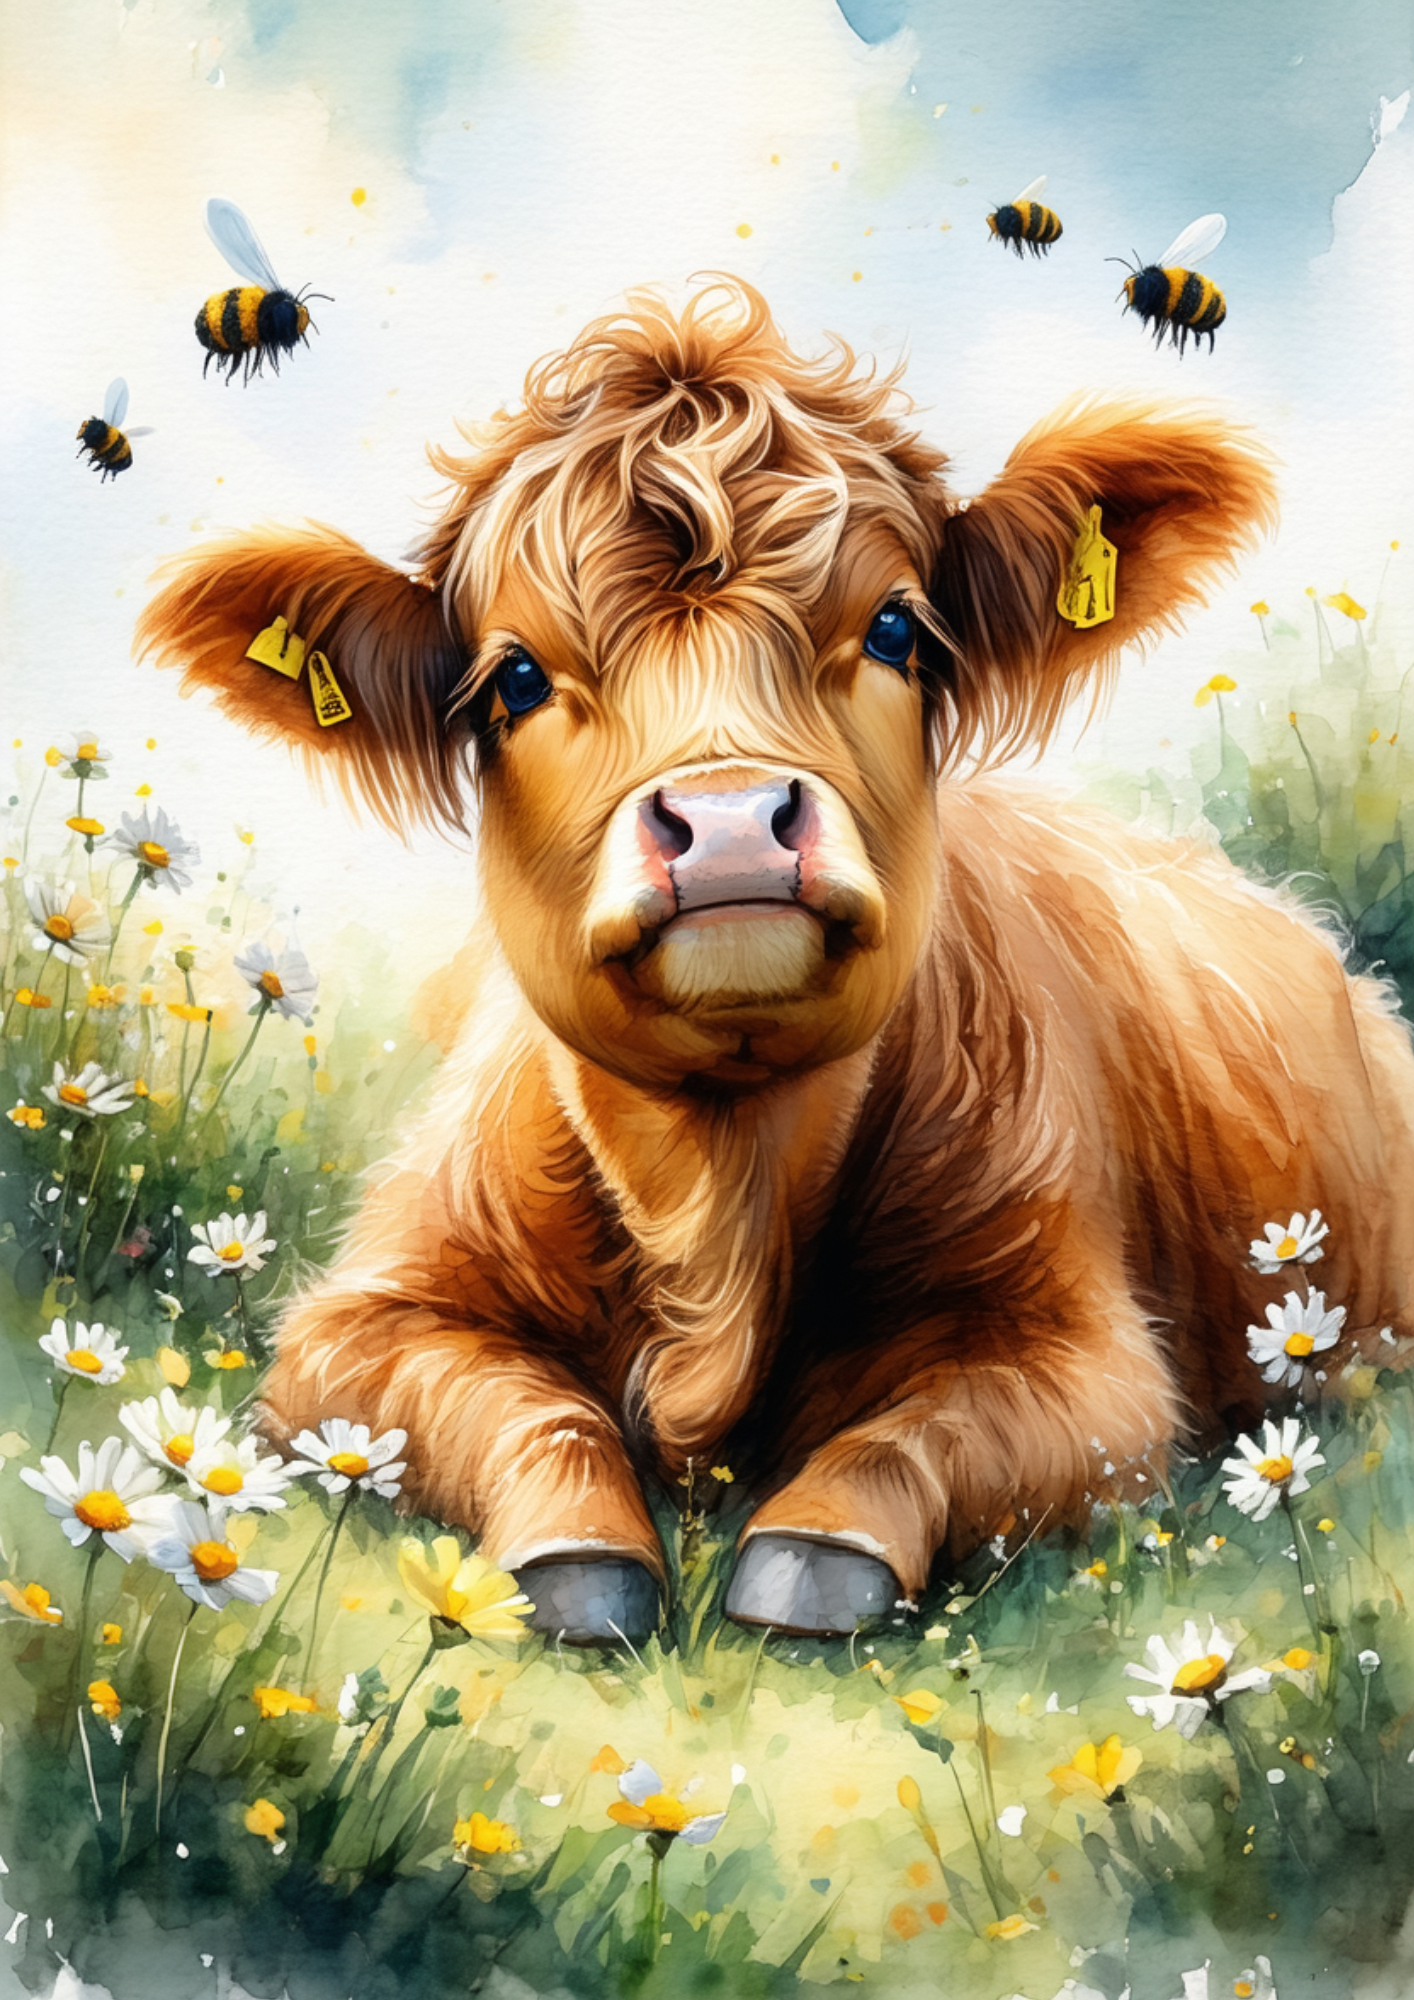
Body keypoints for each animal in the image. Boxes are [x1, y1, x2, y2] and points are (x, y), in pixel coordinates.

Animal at [138, 279, 1414, 1643]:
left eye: (897, 626)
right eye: (515, 675)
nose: (732, 818)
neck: (718, 1193)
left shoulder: (1092, 1356)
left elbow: (913, 1432)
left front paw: (814, 1546)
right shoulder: (357, 1324)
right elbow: (529, 1408)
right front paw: (578, 1554)